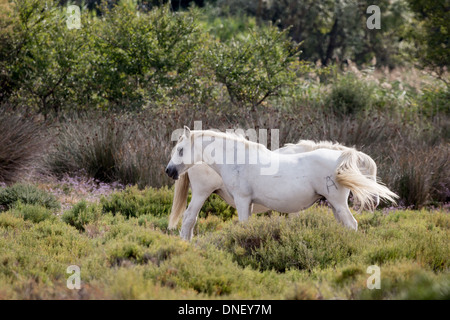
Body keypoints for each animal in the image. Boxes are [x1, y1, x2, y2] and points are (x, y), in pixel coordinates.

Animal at [166, 127, 398, 240]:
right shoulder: (247, 203)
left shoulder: (243, 200)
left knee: (351, 225)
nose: (169, 171)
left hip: (338, 203)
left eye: (180, 150)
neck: (238, 159)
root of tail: (340, 157)